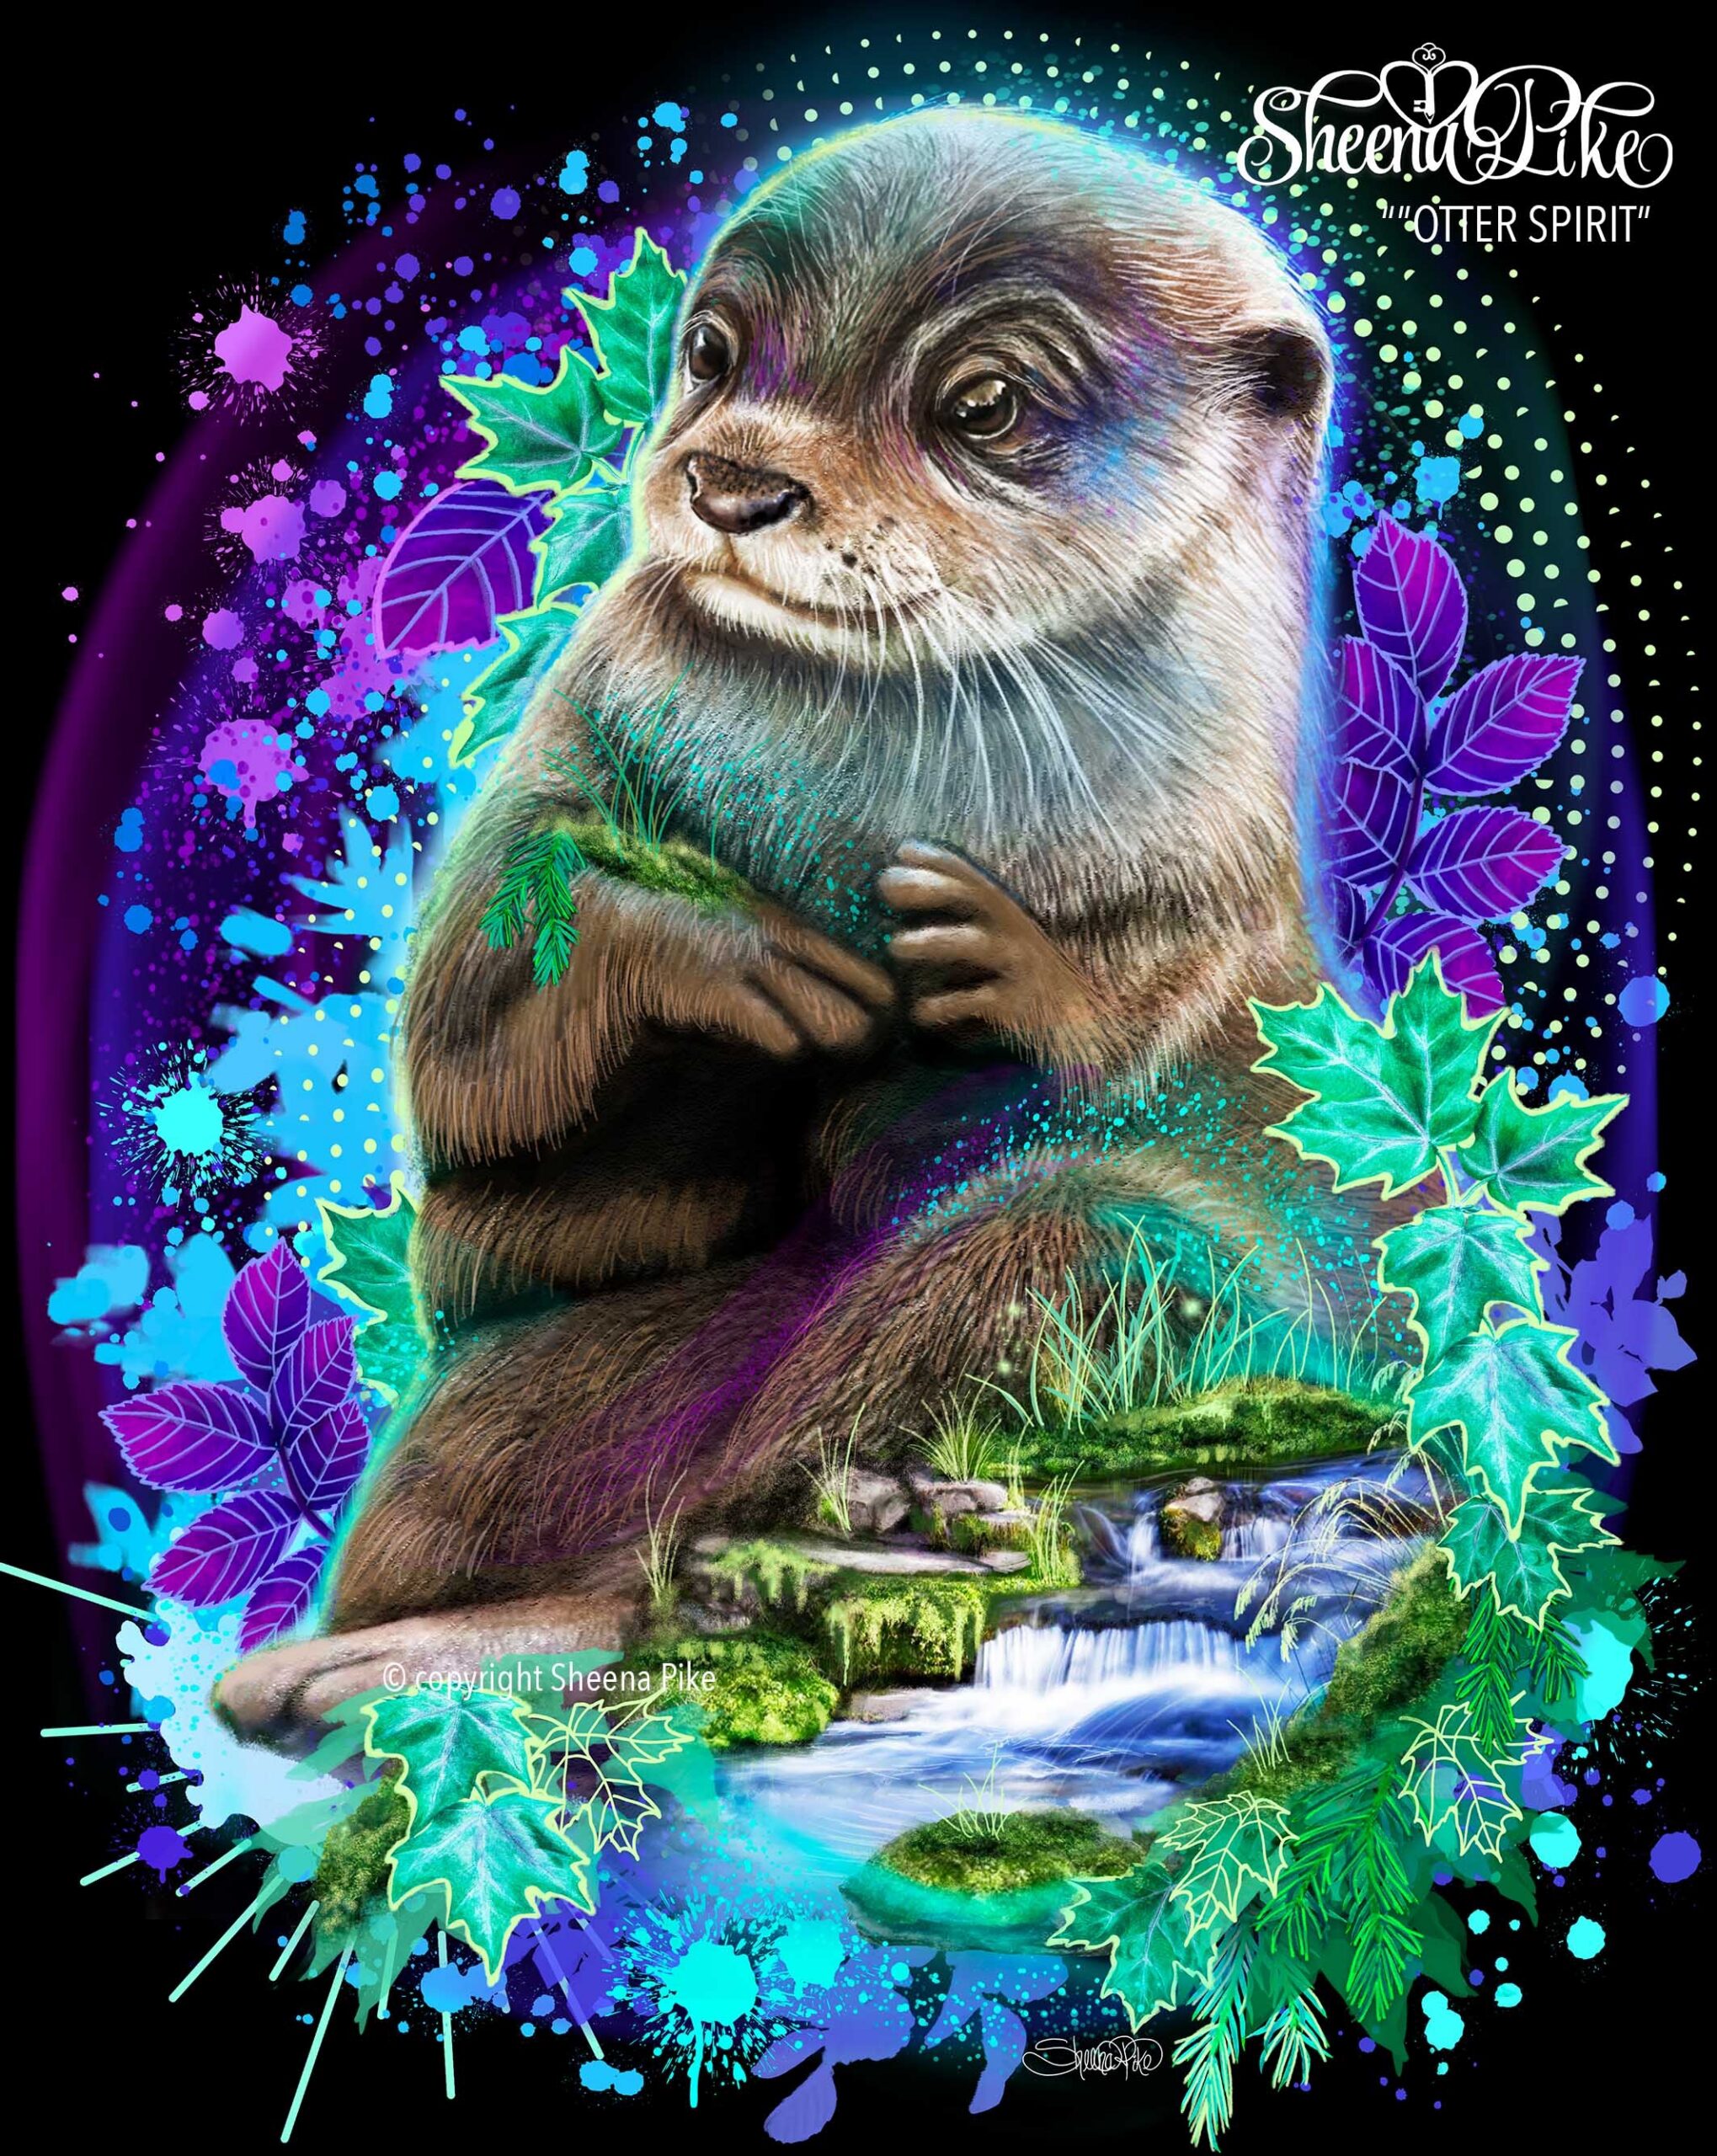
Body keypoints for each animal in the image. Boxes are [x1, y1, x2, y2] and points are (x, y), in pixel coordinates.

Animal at [219, 110, 1374, 1734]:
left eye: (983, 401)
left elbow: (1127, 1059)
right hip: (498, 1421)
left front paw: (1003, 966)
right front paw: (741, 963)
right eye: (709, 351)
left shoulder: (1222, 907)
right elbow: (476, 1068)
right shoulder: (556, 767)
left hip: (1092, 1263)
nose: (732, 483)